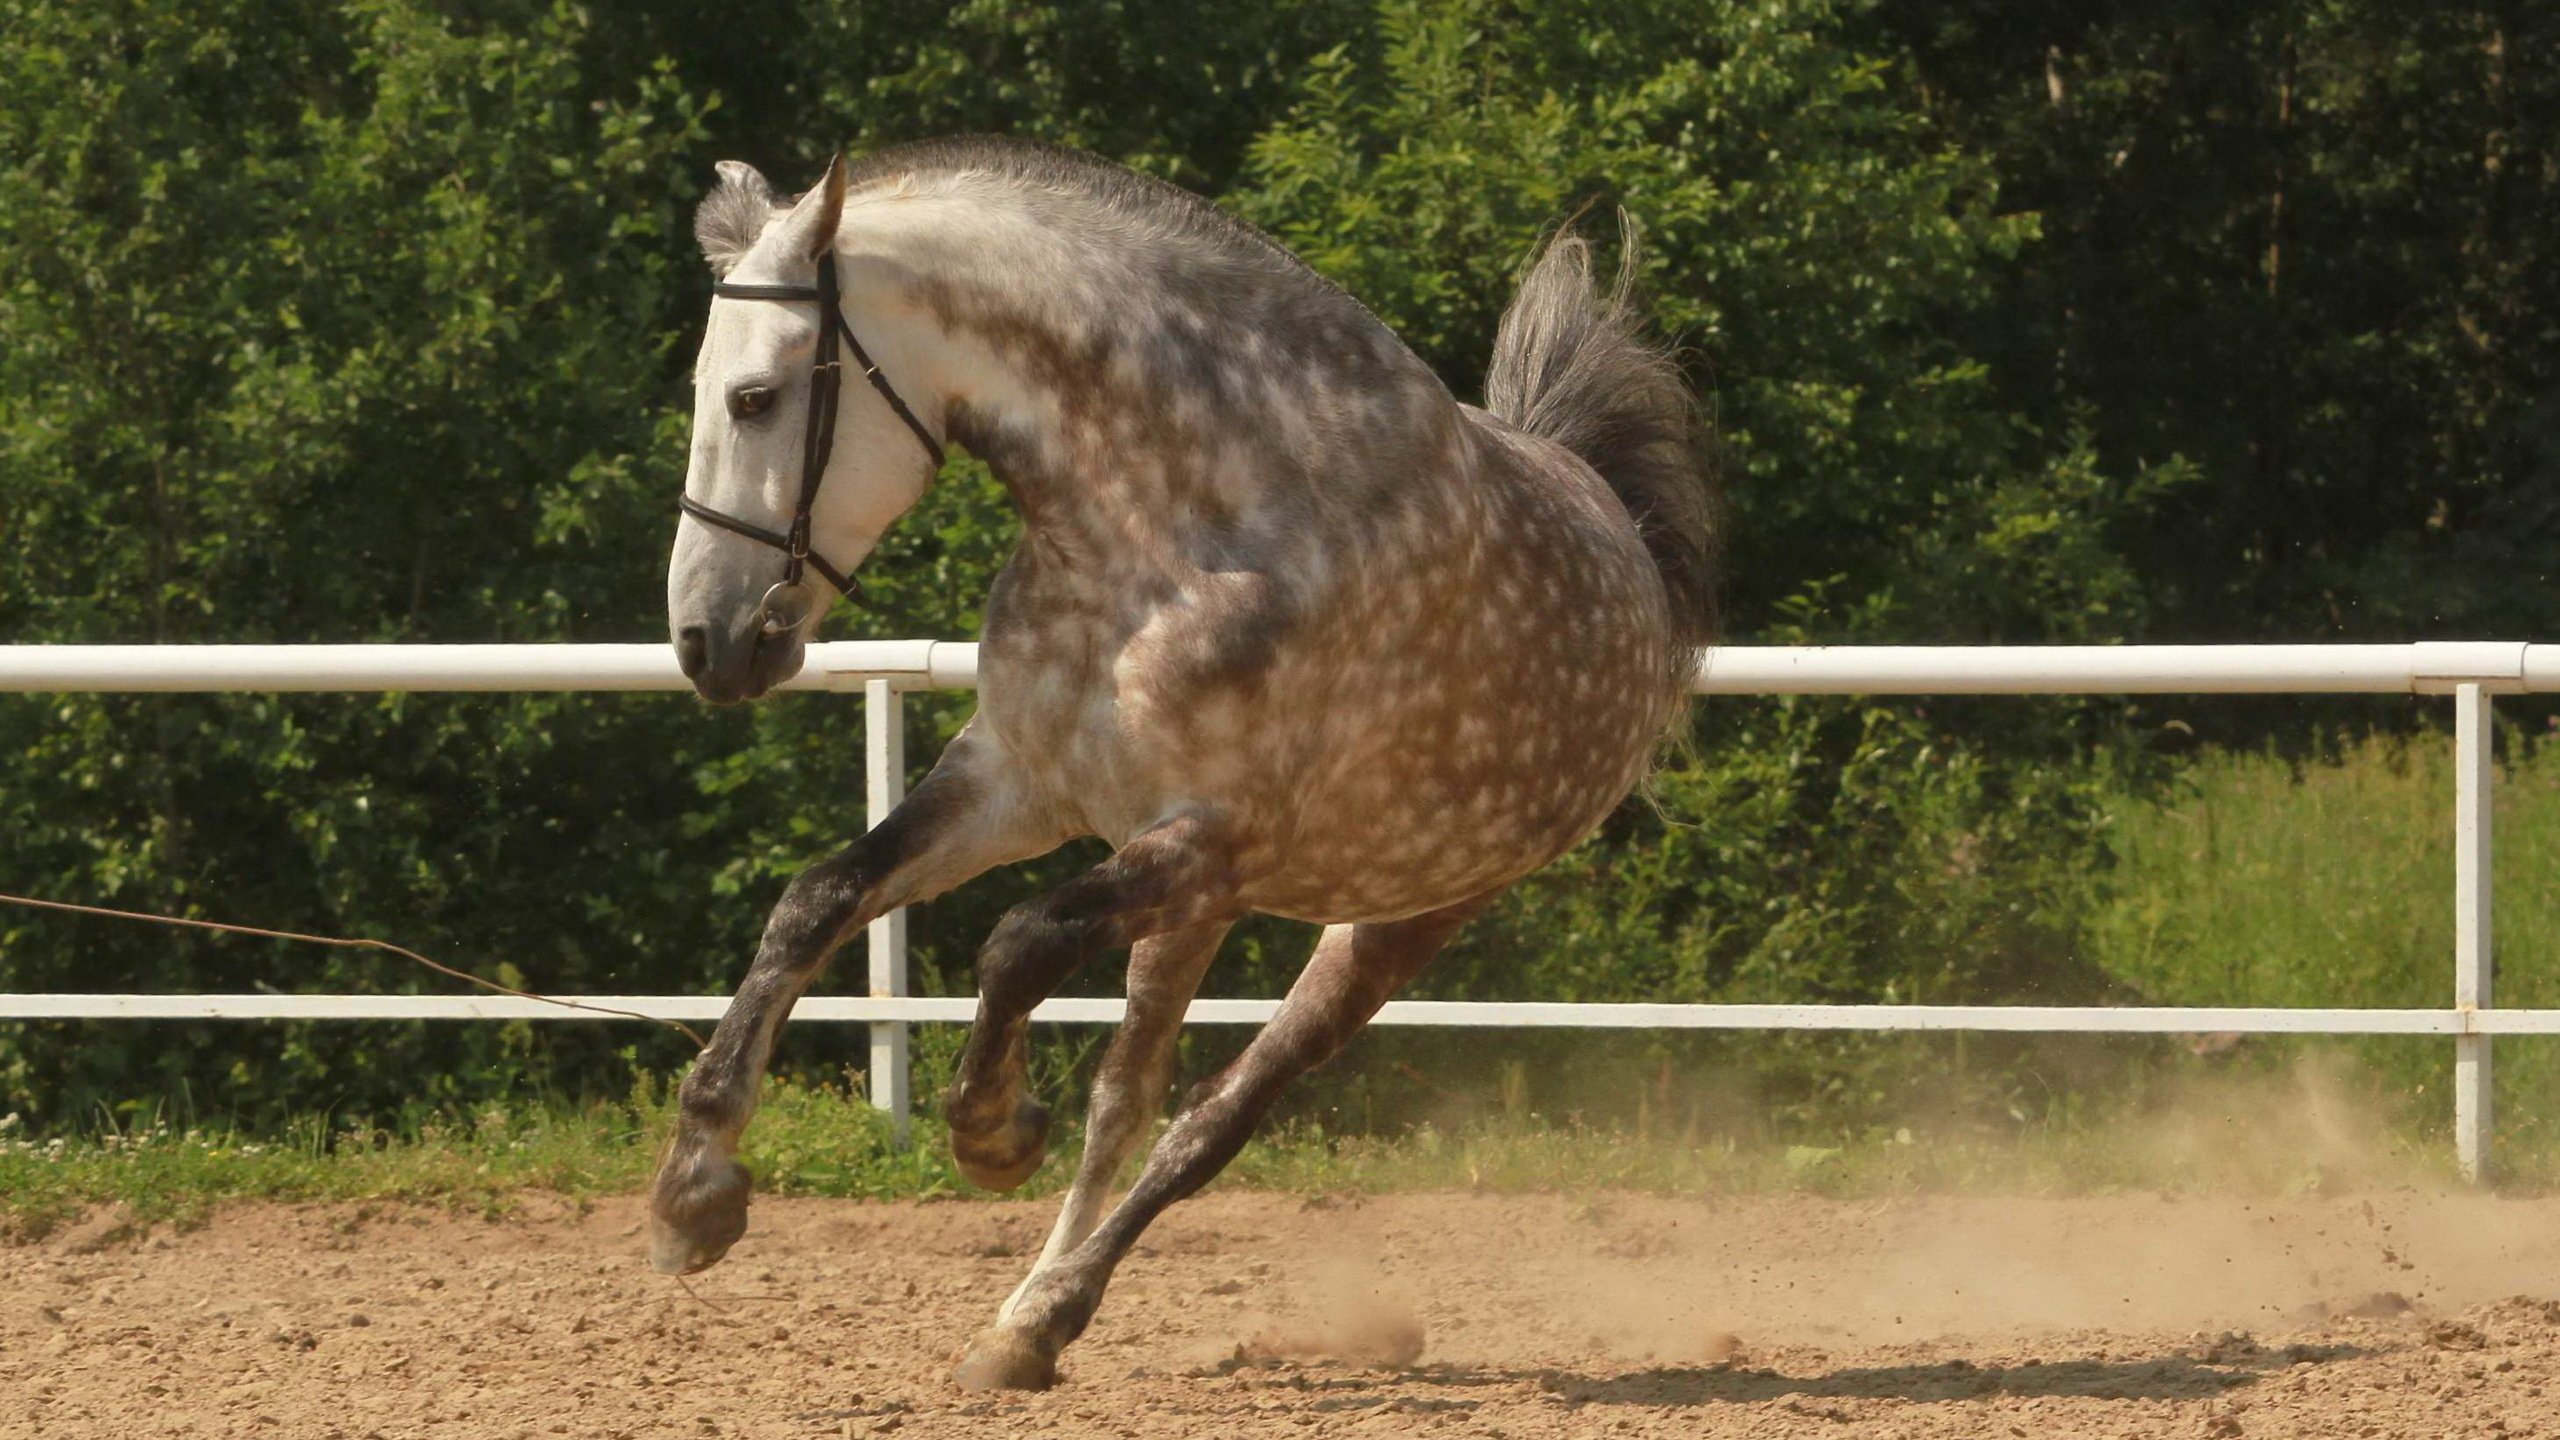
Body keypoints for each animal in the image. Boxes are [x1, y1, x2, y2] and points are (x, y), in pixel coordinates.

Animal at [650, 140, 1720, 1383]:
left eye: (756, 398)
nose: (708, 644)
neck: (1172, 530)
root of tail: (1614, 523)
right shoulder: (1017, 782)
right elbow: (818, 899)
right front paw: (694, 1193)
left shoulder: (1212, 838)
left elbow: (1018, 942)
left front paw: (993, 1131)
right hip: (1197, 910)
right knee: (1129, 1096)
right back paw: (1020, 1322)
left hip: (1389, 920)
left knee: (1209, 1117)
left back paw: (1047, 1310)